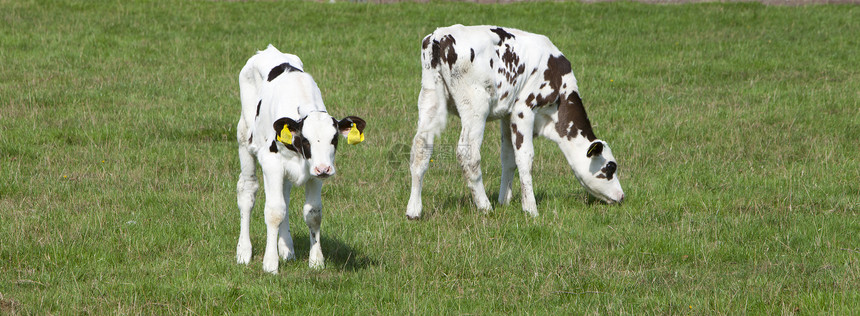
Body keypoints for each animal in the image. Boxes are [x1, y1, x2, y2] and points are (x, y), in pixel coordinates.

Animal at [235, 45, 366, 274]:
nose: (325, 169)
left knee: (285, 198)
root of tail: (268, 50)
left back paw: (286, 248)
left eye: (334, 139)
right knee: (247, 191)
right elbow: (274, 211)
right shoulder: (272, 164)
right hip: (244, 139)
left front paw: (316, 261)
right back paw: (244, 251)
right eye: (306, 140)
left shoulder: (314, 174)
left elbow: (313, 214)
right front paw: (270, 264)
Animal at [408, 24, 624, 218]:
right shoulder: (523, 109)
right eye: (610, 167)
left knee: (421, 146)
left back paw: (414, 211)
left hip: (429, 97)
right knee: (468, 153)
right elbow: (525, 157)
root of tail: (439, 35)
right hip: (475, 105)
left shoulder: (507, 114)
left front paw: (504, 200)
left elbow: (508, 157)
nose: (621, 196)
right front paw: (530, 209)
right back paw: (485, 206)